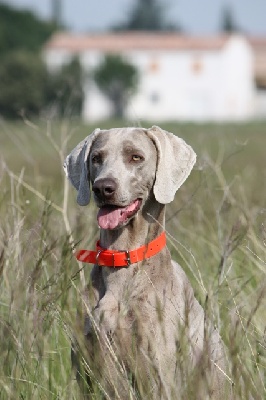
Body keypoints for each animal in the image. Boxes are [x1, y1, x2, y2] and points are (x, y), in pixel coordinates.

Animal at [63, 126, 230, 400]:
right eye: (96, 158)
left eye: (136, 157)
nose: (103, 187)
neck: (122, 259)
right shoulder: (85, 371)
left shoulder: (157, 373)